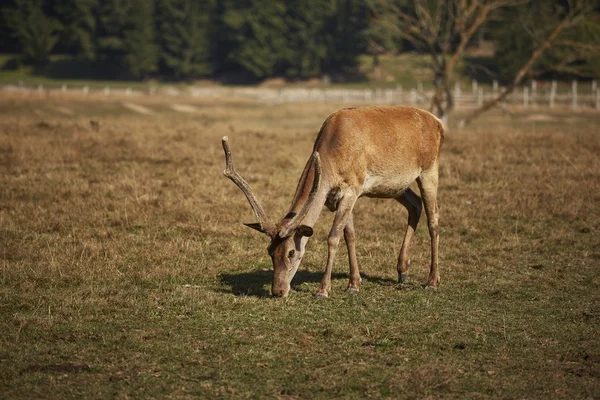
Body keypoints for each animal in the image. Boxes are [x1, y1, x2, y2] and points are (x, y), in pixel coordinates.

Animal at [223, 104, 442, 298]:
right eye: (270, 251)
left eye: (291, 252)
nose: (278, 291)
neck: (332, 158)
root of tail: (438, 122)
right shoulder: (341, 197)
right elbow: (349, 235)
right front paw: (354, 284)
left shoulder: (352, 188)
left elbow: (333, 237)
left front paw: (323, 290)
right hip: (396, 187)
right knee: (415, 204)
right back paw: (402, 270)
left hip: (429, 169)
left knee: (433, 219)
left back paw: (432, 281)